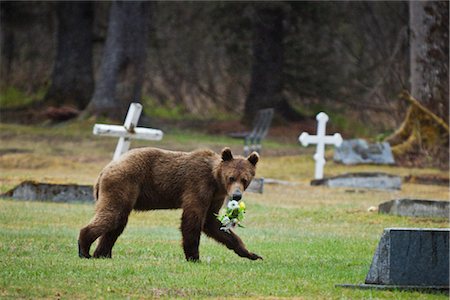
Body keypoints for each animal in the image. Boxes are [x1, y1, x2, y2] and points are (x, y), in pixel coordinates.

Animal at [77, 146, 260, 262]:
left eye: (245, 179)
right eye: (231, 177)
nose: (236, 195)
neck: (215, 180)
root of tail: (103, 171)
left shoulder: (215, 197)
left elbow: (213, 223)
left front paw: (251, 253)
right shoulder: (197, 186)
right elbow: (192, 220)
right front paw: (194, 257)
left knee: (117, 224)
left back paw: (102, 253)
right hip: (124, 183)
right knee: (112, 215)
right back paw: (85, 249)